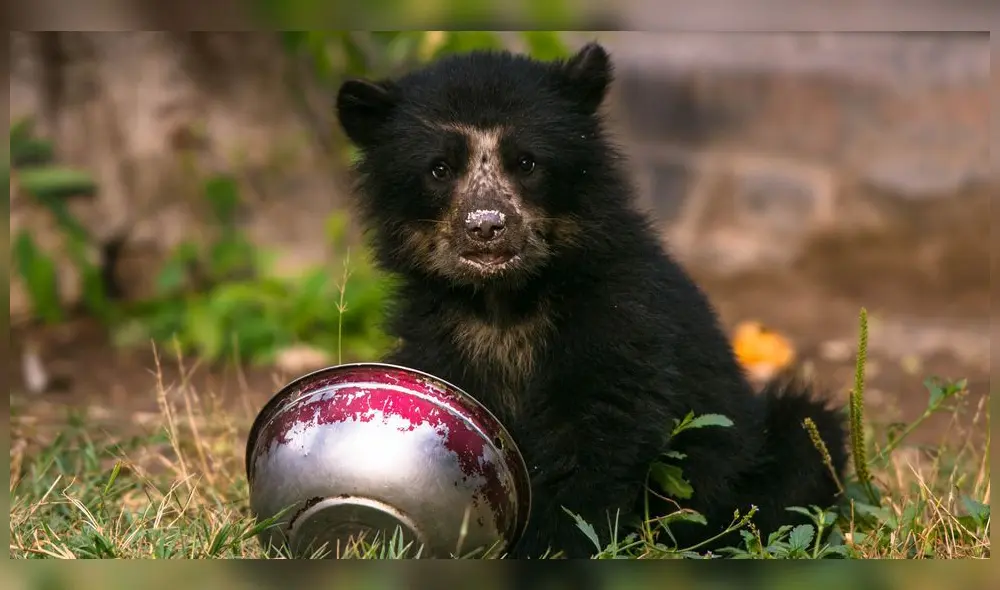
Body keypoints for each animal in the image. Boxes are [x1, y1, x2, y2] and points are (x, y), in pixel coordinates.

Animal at [334, 42, 849, 559]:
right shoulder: (437, 334)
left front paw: (553, 545)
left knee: (802, 443)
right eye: (439, 169)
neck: (504, 299)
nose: (486, 226)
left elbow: (599, 430)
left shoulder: (618, 317)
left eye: (527, 163)